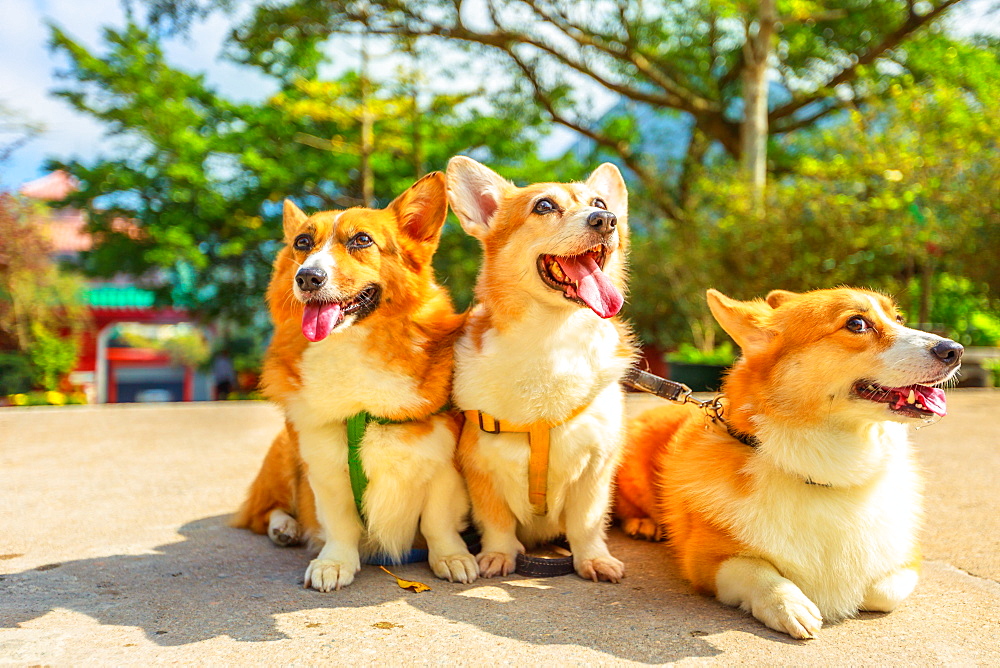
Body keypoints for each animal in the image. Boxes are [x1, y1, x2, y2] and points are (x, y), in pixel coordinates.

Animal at [235, 172, 484, 588]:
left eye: (362, 240)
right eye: (302, 243)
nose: (307, 277)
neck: (352, 344)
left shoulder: (443, 462)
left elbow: (438, 523)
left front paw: (452, 558)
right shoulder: (322, 460)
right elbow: (340, 524)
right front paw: (333, 564)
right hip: (284, 454)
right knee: (263, 511)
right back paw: (284, 527)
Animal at [450, 158, 636, 584]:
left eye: (600, 203)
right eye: (544, 206)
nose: (606, 220)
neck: (551, 337)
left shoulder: (597, 468)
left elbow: (586, 522)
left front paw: (593, 559)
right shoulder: (480, 466)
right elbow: (497, 521)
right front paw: (498, 556)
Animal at [612, 288, 964, 636]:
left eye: (899, 318)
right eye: (856, 324)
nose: (955, 350)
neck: (825, 472)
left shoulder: (905, 558)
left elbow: (881, 592)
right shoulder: (706, 562)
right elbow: (756, 570)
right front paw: (790, 605)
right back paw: (644, 524)